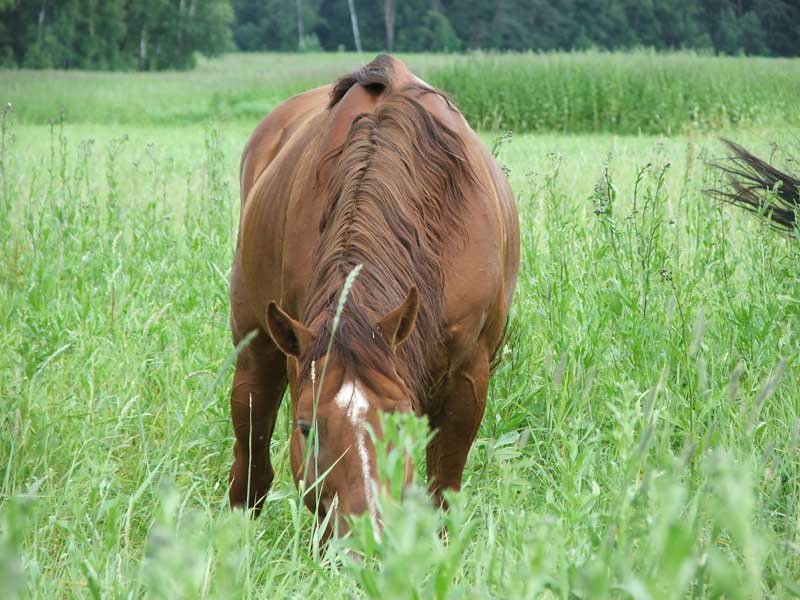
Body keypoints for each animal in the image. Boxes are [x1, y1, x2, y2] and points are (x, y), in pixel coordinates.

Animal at [227, 54, 519, 537]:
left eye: (401, 423)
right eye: (307, 428)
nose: (368, 538)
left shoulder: (469, 379)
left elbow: (443, 492)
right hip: (255, 348)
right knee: (251, 459)